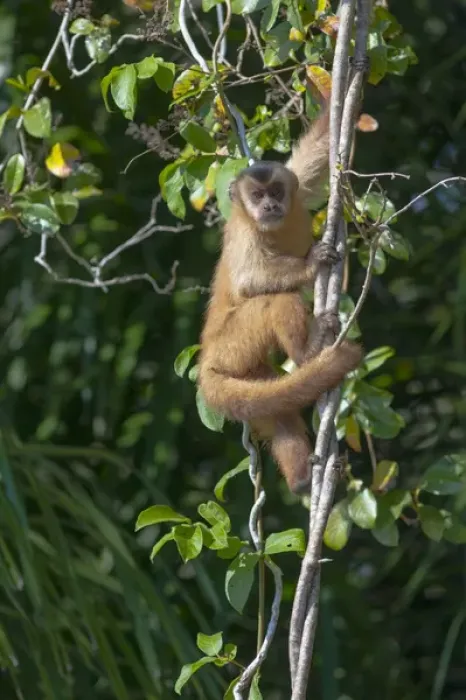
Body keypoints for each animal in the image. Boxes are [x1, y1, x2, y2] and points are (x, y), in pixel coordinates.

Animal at [197, 105, 363, 494]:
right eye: (257, 197)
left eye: (275, 190)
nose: (270, 205)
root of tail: (206, 359)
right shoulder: (243, 231)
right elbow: (248, 280)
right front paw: (311, 264)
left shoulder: (298, 194)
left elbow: (316, 154)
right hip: (231, 342)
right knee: (277, 301)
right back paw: (308, 352)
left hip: (244, 363)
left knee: (272, 406)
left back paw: (302, 480)